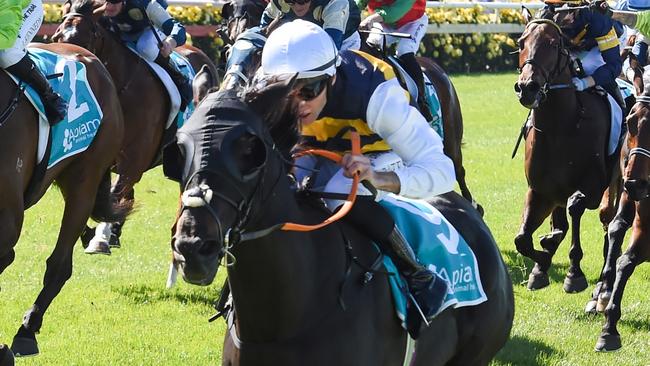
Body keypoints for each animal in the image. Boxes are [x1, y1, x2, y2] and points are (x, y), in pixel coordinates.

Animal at [51, 0, 218, 252]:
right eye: (58, 36)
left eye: (87, 39)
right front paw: (94, 233)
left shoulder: (133, 161)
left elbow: (116, 192)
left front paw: (100, 237)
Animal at [512, 15, 616, 292]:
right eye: (521, 42)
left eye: (552, 44)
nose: (527, 87)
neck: (560, 127)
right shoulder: (540, 191)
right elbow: (522, 239)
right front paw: (542, 262)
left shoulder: (593, 187)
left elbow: (575, 207)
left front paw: (573, 273)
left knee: (608, 218)